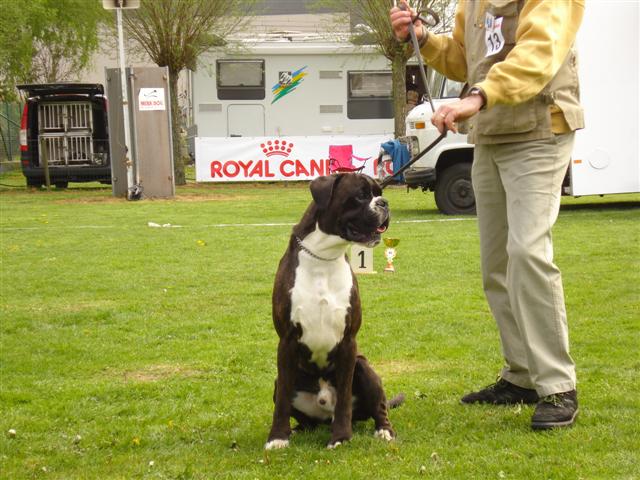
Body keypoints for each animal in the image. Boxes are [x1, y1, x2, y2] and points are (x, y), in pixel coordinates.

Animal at [264, 173, 396, 450]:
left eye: (379, 192)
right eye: (360, 195)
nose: (384, 202)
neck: (323, 257)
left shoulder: (348, 343)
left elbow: (344, 397)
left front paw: (341, 437)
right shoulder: (287, 341)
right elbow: (282, 400)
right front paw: (278, 437)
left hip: (363, 366)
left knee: (378, 408)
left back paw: (384, 431)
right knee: (303, 416)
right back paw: (296, 430)